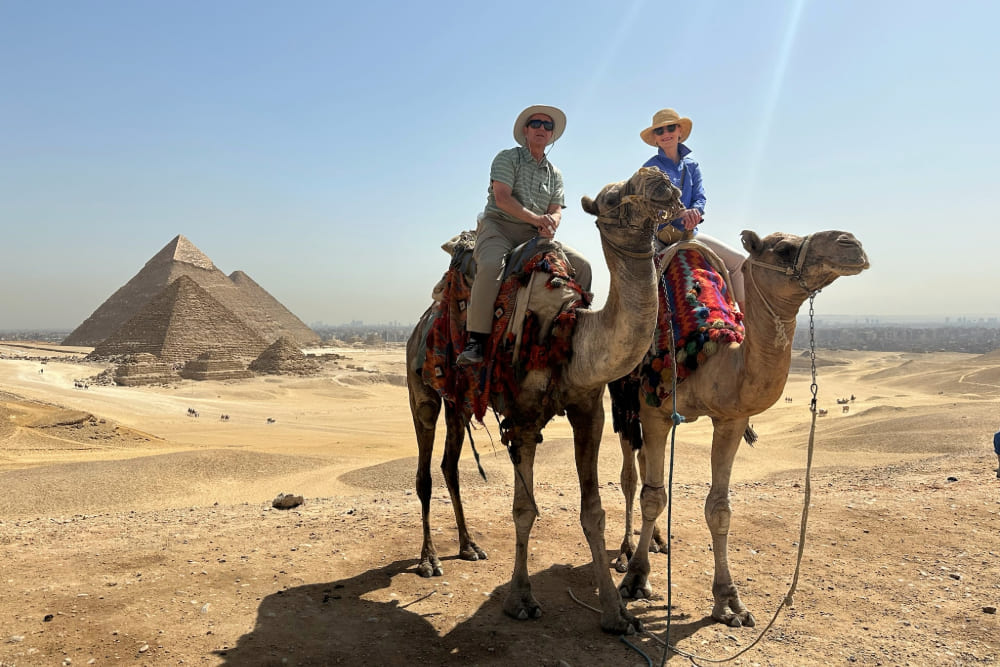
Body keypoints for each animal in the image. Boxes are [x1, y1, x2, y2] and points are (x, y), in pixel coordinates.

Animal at [402, 166, 684, 632]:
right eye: (611, 199)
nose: (661, 180)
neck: (570, 331)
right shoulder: (522, 418)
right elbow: (524, 509)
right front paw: (520, 600)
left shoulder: (588, 410)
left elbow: (594, 512)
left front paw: (616, 613)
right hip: (420, 388)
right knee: (425, 470)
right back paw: (428, 561)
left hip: (459, 402)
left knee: (449, 465)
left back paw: (468, 546)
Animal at [612, 228, 872, 628]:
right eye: (783, 249)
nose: (850, 243)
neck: (708, 354)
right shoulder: (654, 409)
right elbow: (653, 497)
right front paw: (637, 579)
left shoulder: (731, 418)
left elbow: (719, 508)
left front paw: (730, 603)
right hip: (623, 398)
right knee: (630, 476)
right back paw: (627, 551)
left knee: (641, 467)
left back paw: (657, 540)